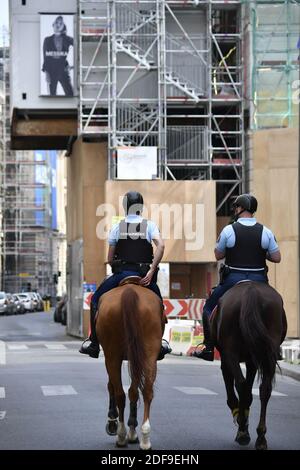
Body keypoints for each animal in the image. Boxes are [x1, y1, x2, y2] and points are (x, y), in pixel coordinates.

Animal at [95, 278, 163, 450]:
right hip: (149, 355)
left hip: (112, 356)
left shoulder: (111, 358)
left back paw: (121, 435)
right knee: (146, 391)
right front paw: (133, 430)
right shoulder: (136, 358)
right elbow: (133, 391)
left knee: (119, 393)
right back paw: (145, 437)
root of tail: (129, 290)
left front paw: (113, 422)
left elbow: (112, 387)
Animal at [210, 280, 288, 450]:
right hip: (268, 354)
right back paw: (261, 437)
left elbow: (235, 394)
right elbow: (250, 392)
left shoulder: (226, 359)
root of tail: (250, 290)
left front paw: (241, 421)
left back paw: (243, 433)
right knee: (264, 389)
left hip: (231, 354)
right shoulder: (252, 361)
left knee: (240, 385)